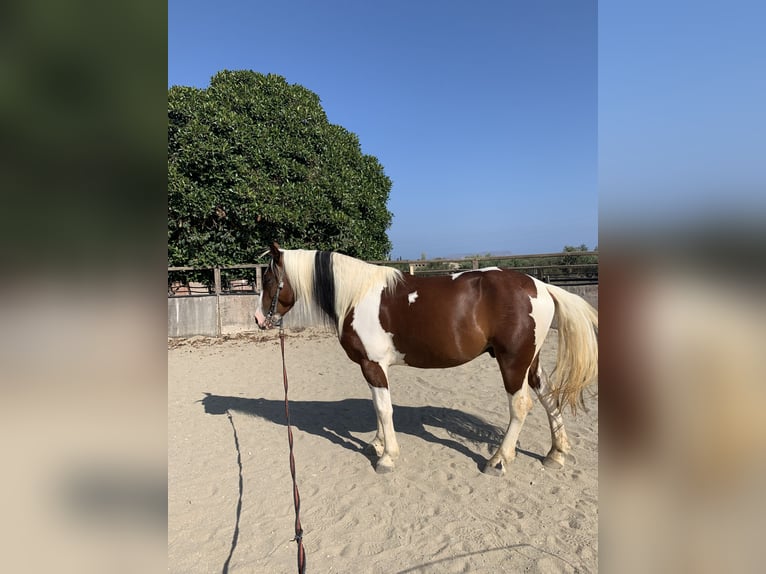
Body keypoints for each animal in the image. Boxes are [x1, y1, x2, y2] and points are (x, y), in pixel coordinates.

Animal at [255, 242, 598, 475]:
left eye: (269, 280)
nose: (259, 319)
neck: (357, 296)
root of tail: (540, 286)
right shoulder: (373, 368)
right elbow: (378, 408)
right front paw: (377, 443)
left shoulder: (372, 365)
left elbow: (384, 409)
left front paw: (387, 457)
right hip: (531, 361)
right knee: (549, 398)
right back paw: (555, 454)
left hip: (512, 362)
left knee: (521, 406)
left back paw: (498, 460)